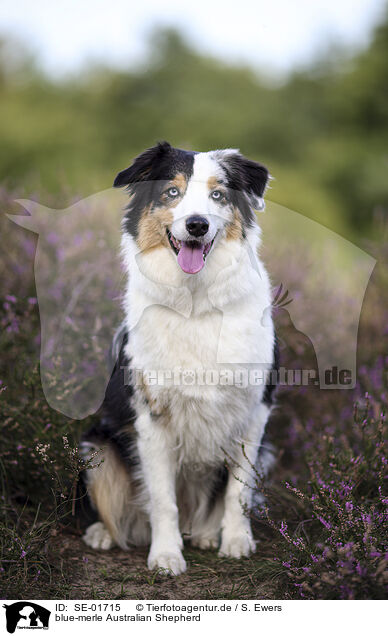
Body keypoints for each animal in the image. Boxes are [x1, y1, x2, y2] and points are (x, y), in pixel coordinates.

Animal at [80, 142, 278, 572]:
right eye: (172, 192)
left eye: (217, 195)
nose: (197, 225)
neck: (196, 302)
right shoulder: (151, 416)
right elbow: (162, 499)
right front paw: (166, 555)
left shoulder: (255, 410)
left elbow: (238, 493)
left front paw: (236, 541)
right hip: (96, 446)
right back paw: (104, 533)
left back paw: (205, 533)